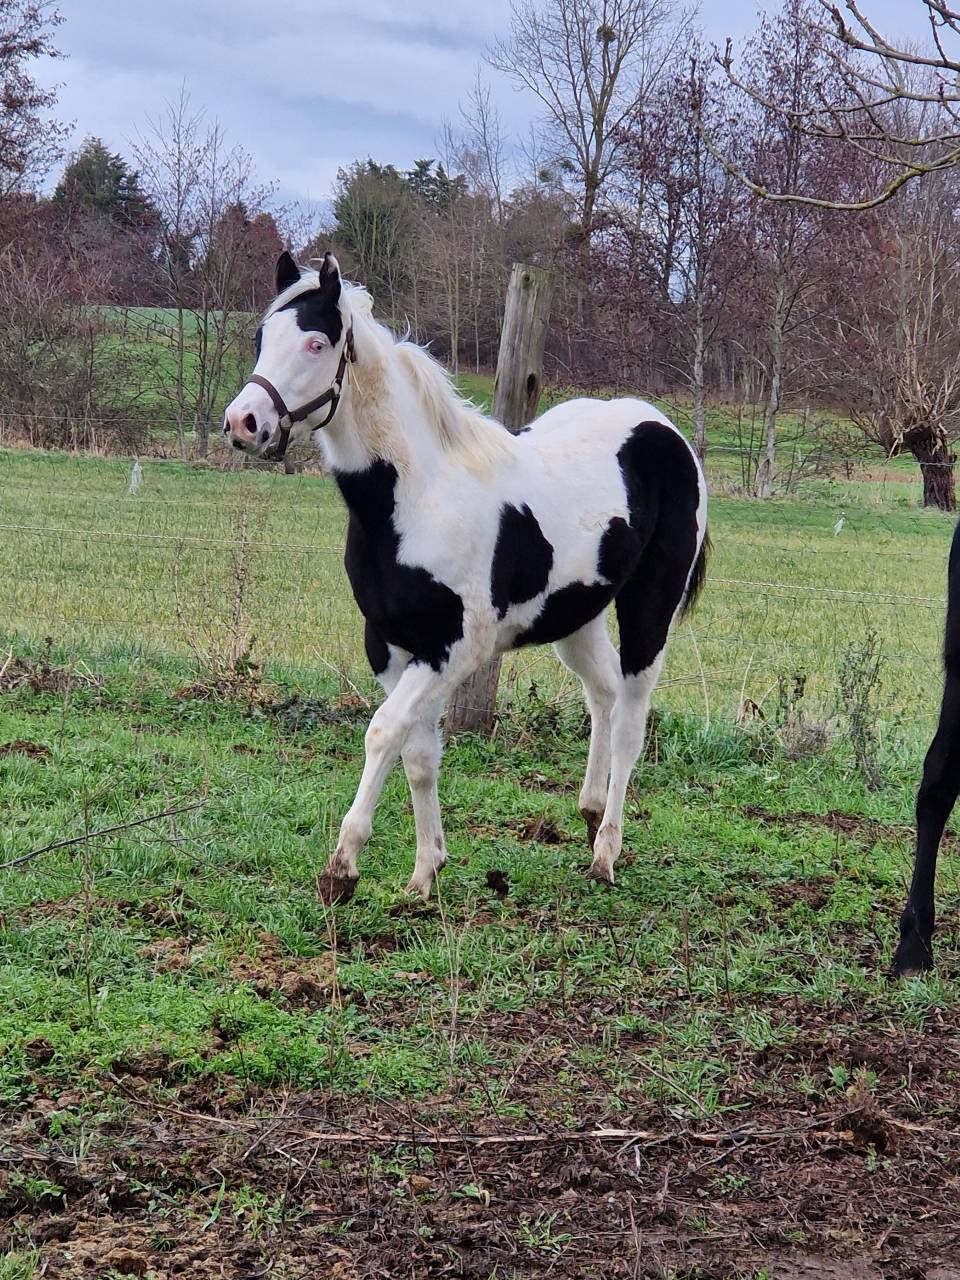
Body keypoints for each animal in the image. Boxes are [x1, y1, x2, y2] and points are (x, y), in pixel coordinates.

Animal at [224, 251, 709, 904]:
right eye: (262, 337)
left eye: (317, 342)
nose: (243, 422)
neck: (419, 496)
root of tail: (662, 427)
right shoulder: (391, 647)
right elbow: (419, 753)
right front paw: (425, 874)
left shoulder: (455, 648)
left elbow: (384, 732)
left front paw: (342, 869)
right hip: (575, 616)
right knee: (603, 693)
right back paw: (587, 815)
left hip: (649, 609)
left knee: (633, 715)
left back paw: (606, 853)